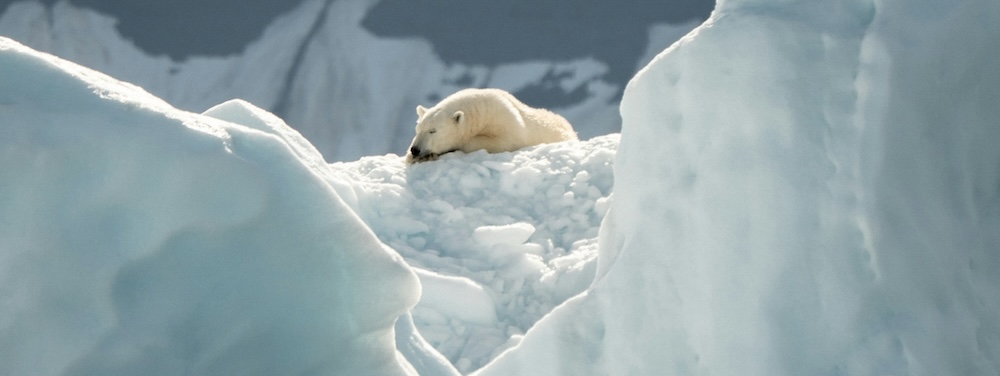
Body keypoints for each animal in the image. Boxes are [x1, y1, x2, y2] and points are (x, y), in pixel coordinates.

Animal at [406, 89, 580, 164]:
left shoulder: (505, 122)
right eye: (418, 130)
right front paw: (413, 156)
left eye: (433, 131)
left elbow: (503, 142)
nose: (416, 150)